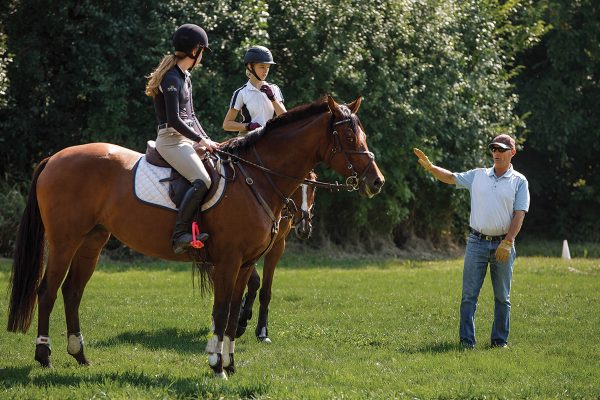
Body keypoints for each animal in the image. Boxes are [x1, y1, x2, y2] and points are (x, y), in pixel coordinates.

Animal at [236, 170, 318, 342]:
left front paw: (262, 331)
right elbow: (254, 281)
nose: (304, 228)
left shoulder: (277, 247)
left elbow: (265, 291)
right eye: (295, 186)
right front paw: (240, 322)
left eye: (313, 186)